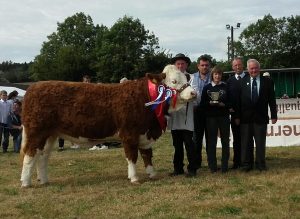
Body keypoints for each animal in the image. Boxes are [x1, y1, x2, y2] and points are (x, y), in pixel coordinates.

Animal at [19, 64, 196, 186]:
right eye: (174, 81)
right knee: (30, 154)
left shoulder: (145, 133)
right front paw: (134, 178)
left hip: (51, 135)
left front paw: (152, 174)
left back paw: (44, 180)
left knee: (42, 156)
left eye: (186, 79)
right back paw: (25, 182)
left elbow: (147, 154)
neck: (146, 97)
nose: (194, 93)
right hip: (36, 132)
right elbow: (132, 156)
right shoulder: (129, 134)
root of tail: (34, 87)